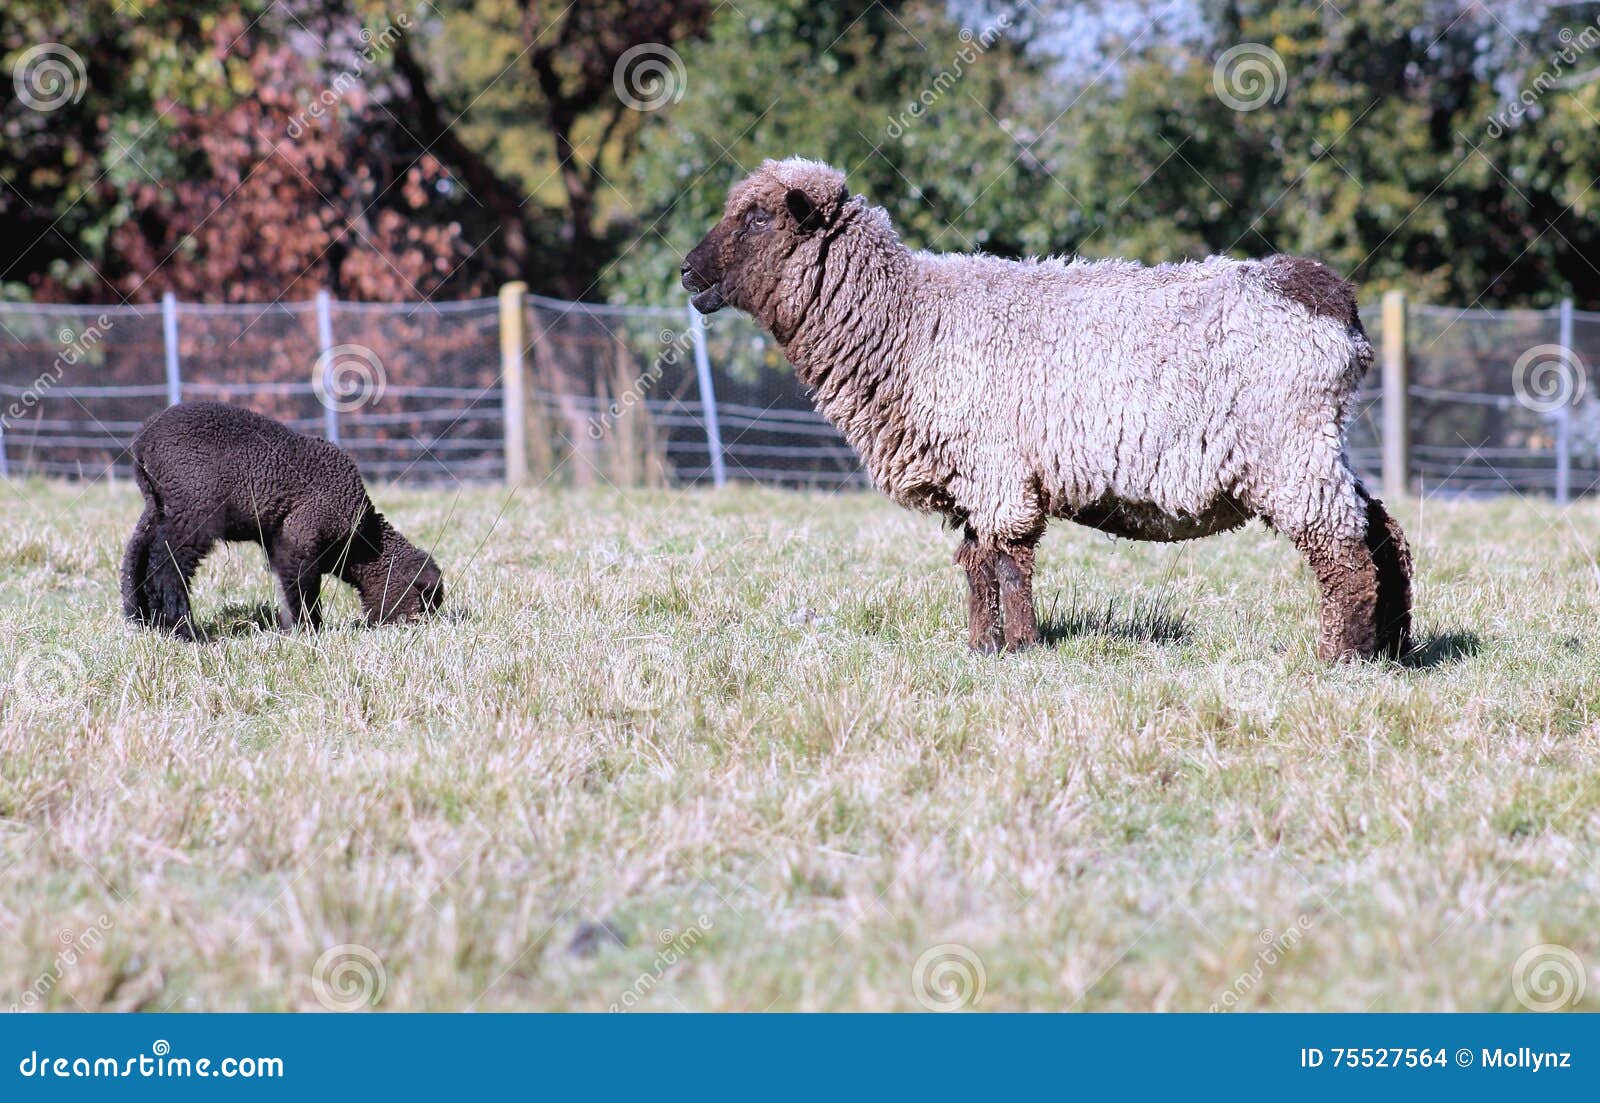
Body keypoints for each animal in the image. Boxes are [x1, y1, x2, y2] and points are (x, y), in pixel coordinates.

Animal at [121, 401, 443, 637]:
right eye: (422, 600)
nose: (417, 630)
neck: (361, 545)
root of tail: (143, 442)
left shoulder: (277, 540)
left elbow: (285, 582)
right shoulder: (302, 532)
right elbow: (301, 584)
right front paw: (309, 629)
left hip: (159, 505)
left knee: (137, 555)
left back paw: (145, 621)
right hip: (193, 506)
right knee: (166, 562)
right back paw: (182, 629)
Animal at [681, 158, 1412, 660]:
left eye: (759, 217)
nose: (687, 272)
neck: (909, 319)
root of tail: (1327, 295)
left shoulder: (999, 468)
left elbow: (1007, 560)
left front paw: (1023, 649)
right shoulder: (970, 475)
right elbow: (976, 563)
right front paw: (982, 649)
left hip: (1289, 448)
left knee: (1345, 550)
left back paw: (1339, 657)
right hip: (1315, 444)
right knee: (1383, 531)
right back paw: (1392, 647)